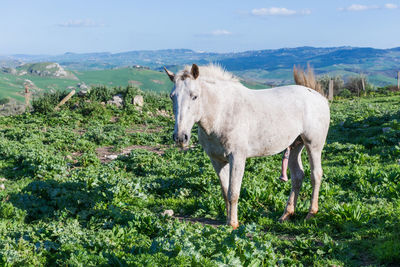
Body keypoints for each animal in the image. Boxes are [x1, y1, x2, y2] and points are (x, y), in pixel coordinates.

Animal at [164, 63, 330, 229]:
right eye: (172, 96)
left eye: (194, 96)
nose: (180, 137)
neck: (222, 112)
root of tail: (320, 97)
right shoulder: (217, 160)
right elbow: (225, 192)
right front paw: (227, 221)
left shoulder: (237, 158)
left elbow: (233, 192)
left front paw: (233, 224)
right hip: (295, 146)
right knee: (297, 176)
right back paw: (286, 215)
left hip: (313, 146)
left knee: (316, 175)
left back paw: (310, 214)